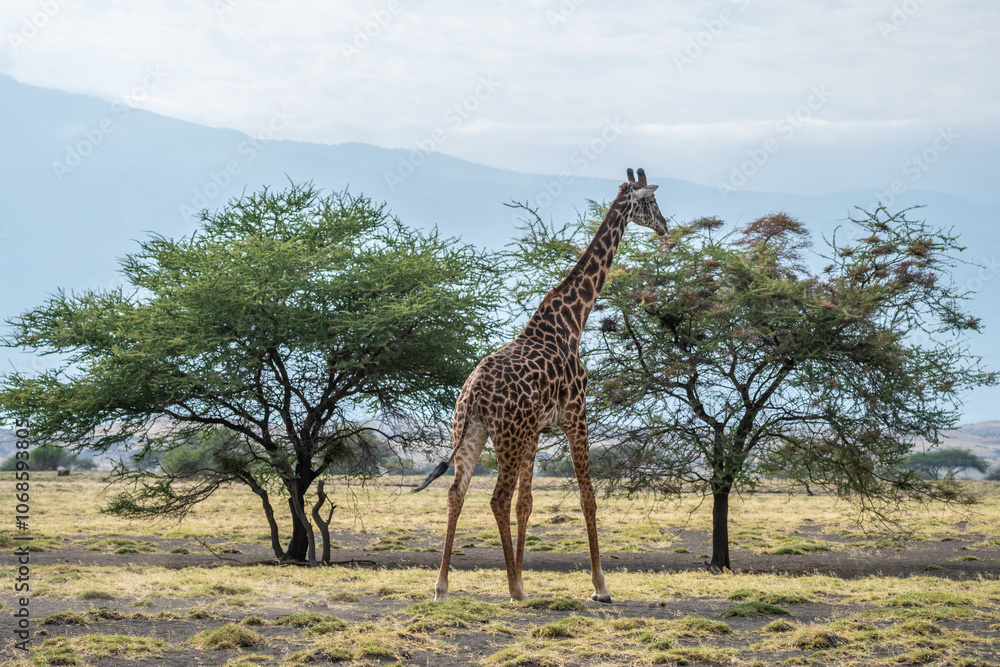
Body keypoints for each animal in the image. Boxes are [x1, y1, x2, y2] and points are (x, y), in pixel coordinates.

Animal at [413, 168, 668, 603]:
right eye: (650, 202)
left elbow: (527, 503)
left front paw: (523, 573)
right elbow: (587, 497)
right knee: (497, 498)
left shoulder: (536, 431)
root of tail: (474, 390)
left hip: (472, 430)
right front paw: (600, 586)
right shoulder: (576, 415)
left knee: (456, 493)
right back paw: (513, 589)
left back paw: (443, 586)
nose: (666, 227)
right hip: (507, 436)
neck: (572, 320)